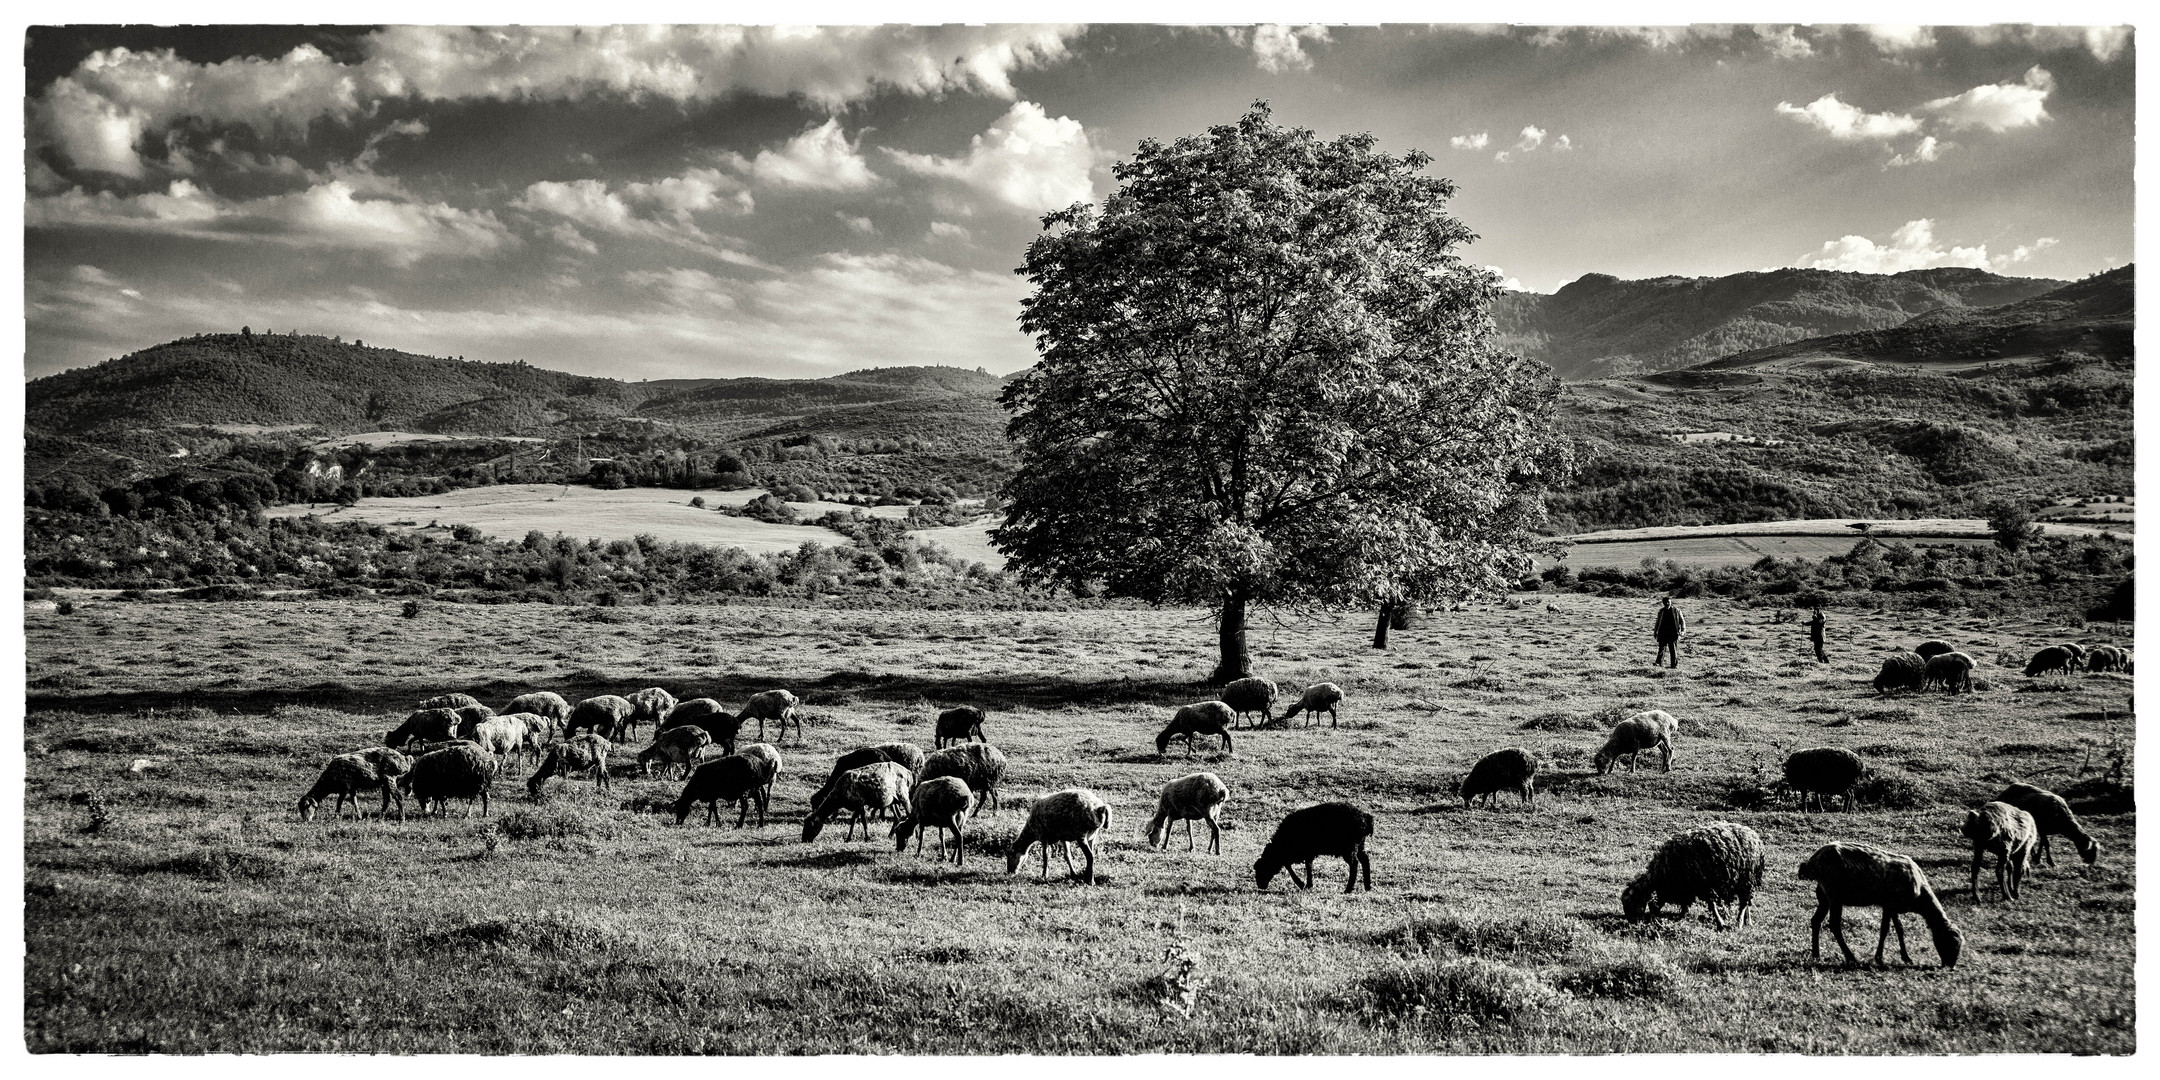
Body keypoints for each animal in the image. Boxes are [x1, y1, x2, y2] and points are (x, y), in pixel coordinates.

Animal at [1624, 816, 1762, 928]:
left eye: (1632, 902)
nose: (1632, 922)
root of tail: (1753, 834)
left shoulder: (1703, 885)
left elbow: (1711, 905)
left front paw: (1720, 923)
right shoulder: (1686, 886)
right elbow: (1685, 902)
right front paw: (1681, 916)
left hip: (1747, 878)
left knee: (1744, 903)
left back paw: (1739, 922)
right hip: (1745, 880)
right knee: (1747, 902)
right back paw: (1748, 921)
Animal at [1797, 838, 1969, 967]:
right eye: (1952, 943)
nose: (1950, 966)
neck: (1921, 896)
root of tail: (1812, 861)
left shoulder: (1892, 906)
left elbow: (1899, 929)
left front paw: (1906, 957)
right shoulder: (1890, 904)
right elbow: (1885, 929)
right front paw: (1879, 958)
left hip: (1823, 895)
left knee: (1816, 921)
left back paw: (1816, 954)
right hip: (1834, 894)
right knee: (1834, 925)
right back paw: (1851, 957)